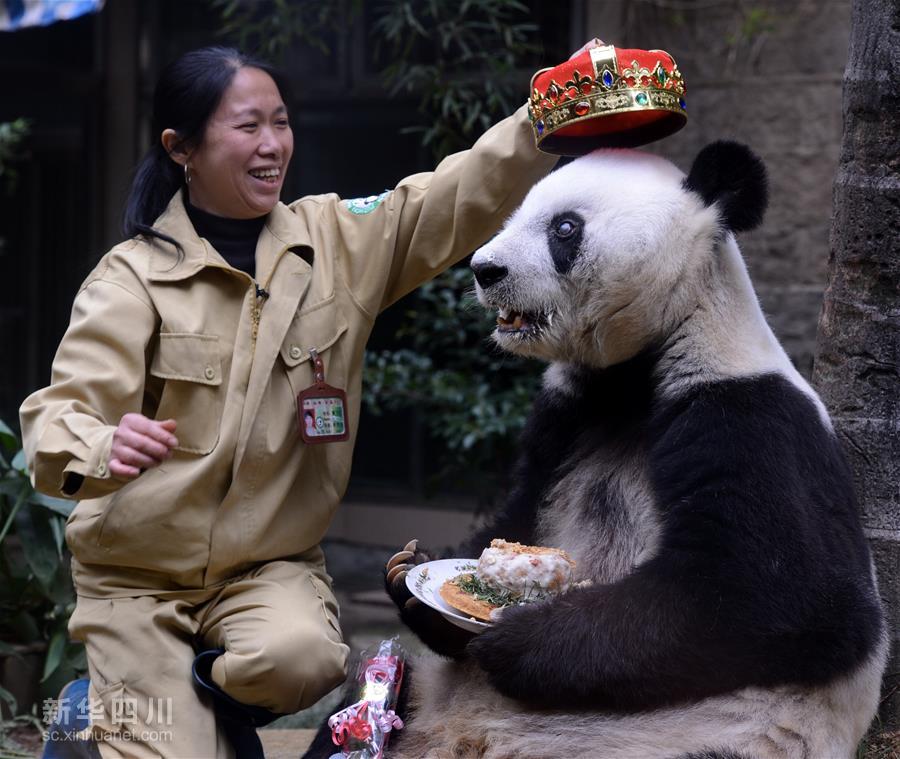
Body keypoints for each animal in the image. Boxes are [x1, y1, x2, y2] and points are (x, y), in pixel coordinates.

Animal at [300, 144, 884, 759]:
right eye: (514, 212)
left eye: (564, 228)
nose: (485, 270)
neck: (638, 367)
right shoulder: (565, 412)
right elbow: (520, 510)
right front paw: (413, 577)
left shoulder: (748, 416)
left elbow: (790, 594)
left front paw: (522, 638)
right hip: (420, 700)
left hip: (712, 737)